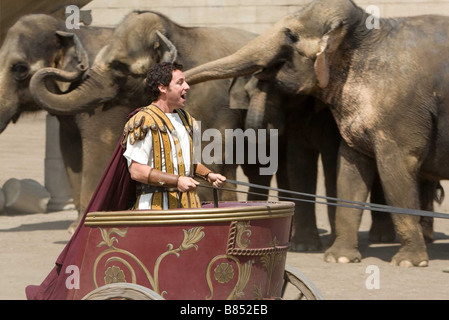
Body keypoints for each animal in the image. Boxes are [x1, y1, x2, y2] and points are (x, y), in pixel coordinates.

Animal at [181, 0, 448, 266]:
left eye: (291, 35)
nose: (179, 79)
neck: (366, 33)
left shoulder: (400, 114)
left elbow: (396, 170)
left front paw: (408, 261)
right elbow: (347, 171)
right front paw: (339, 258)